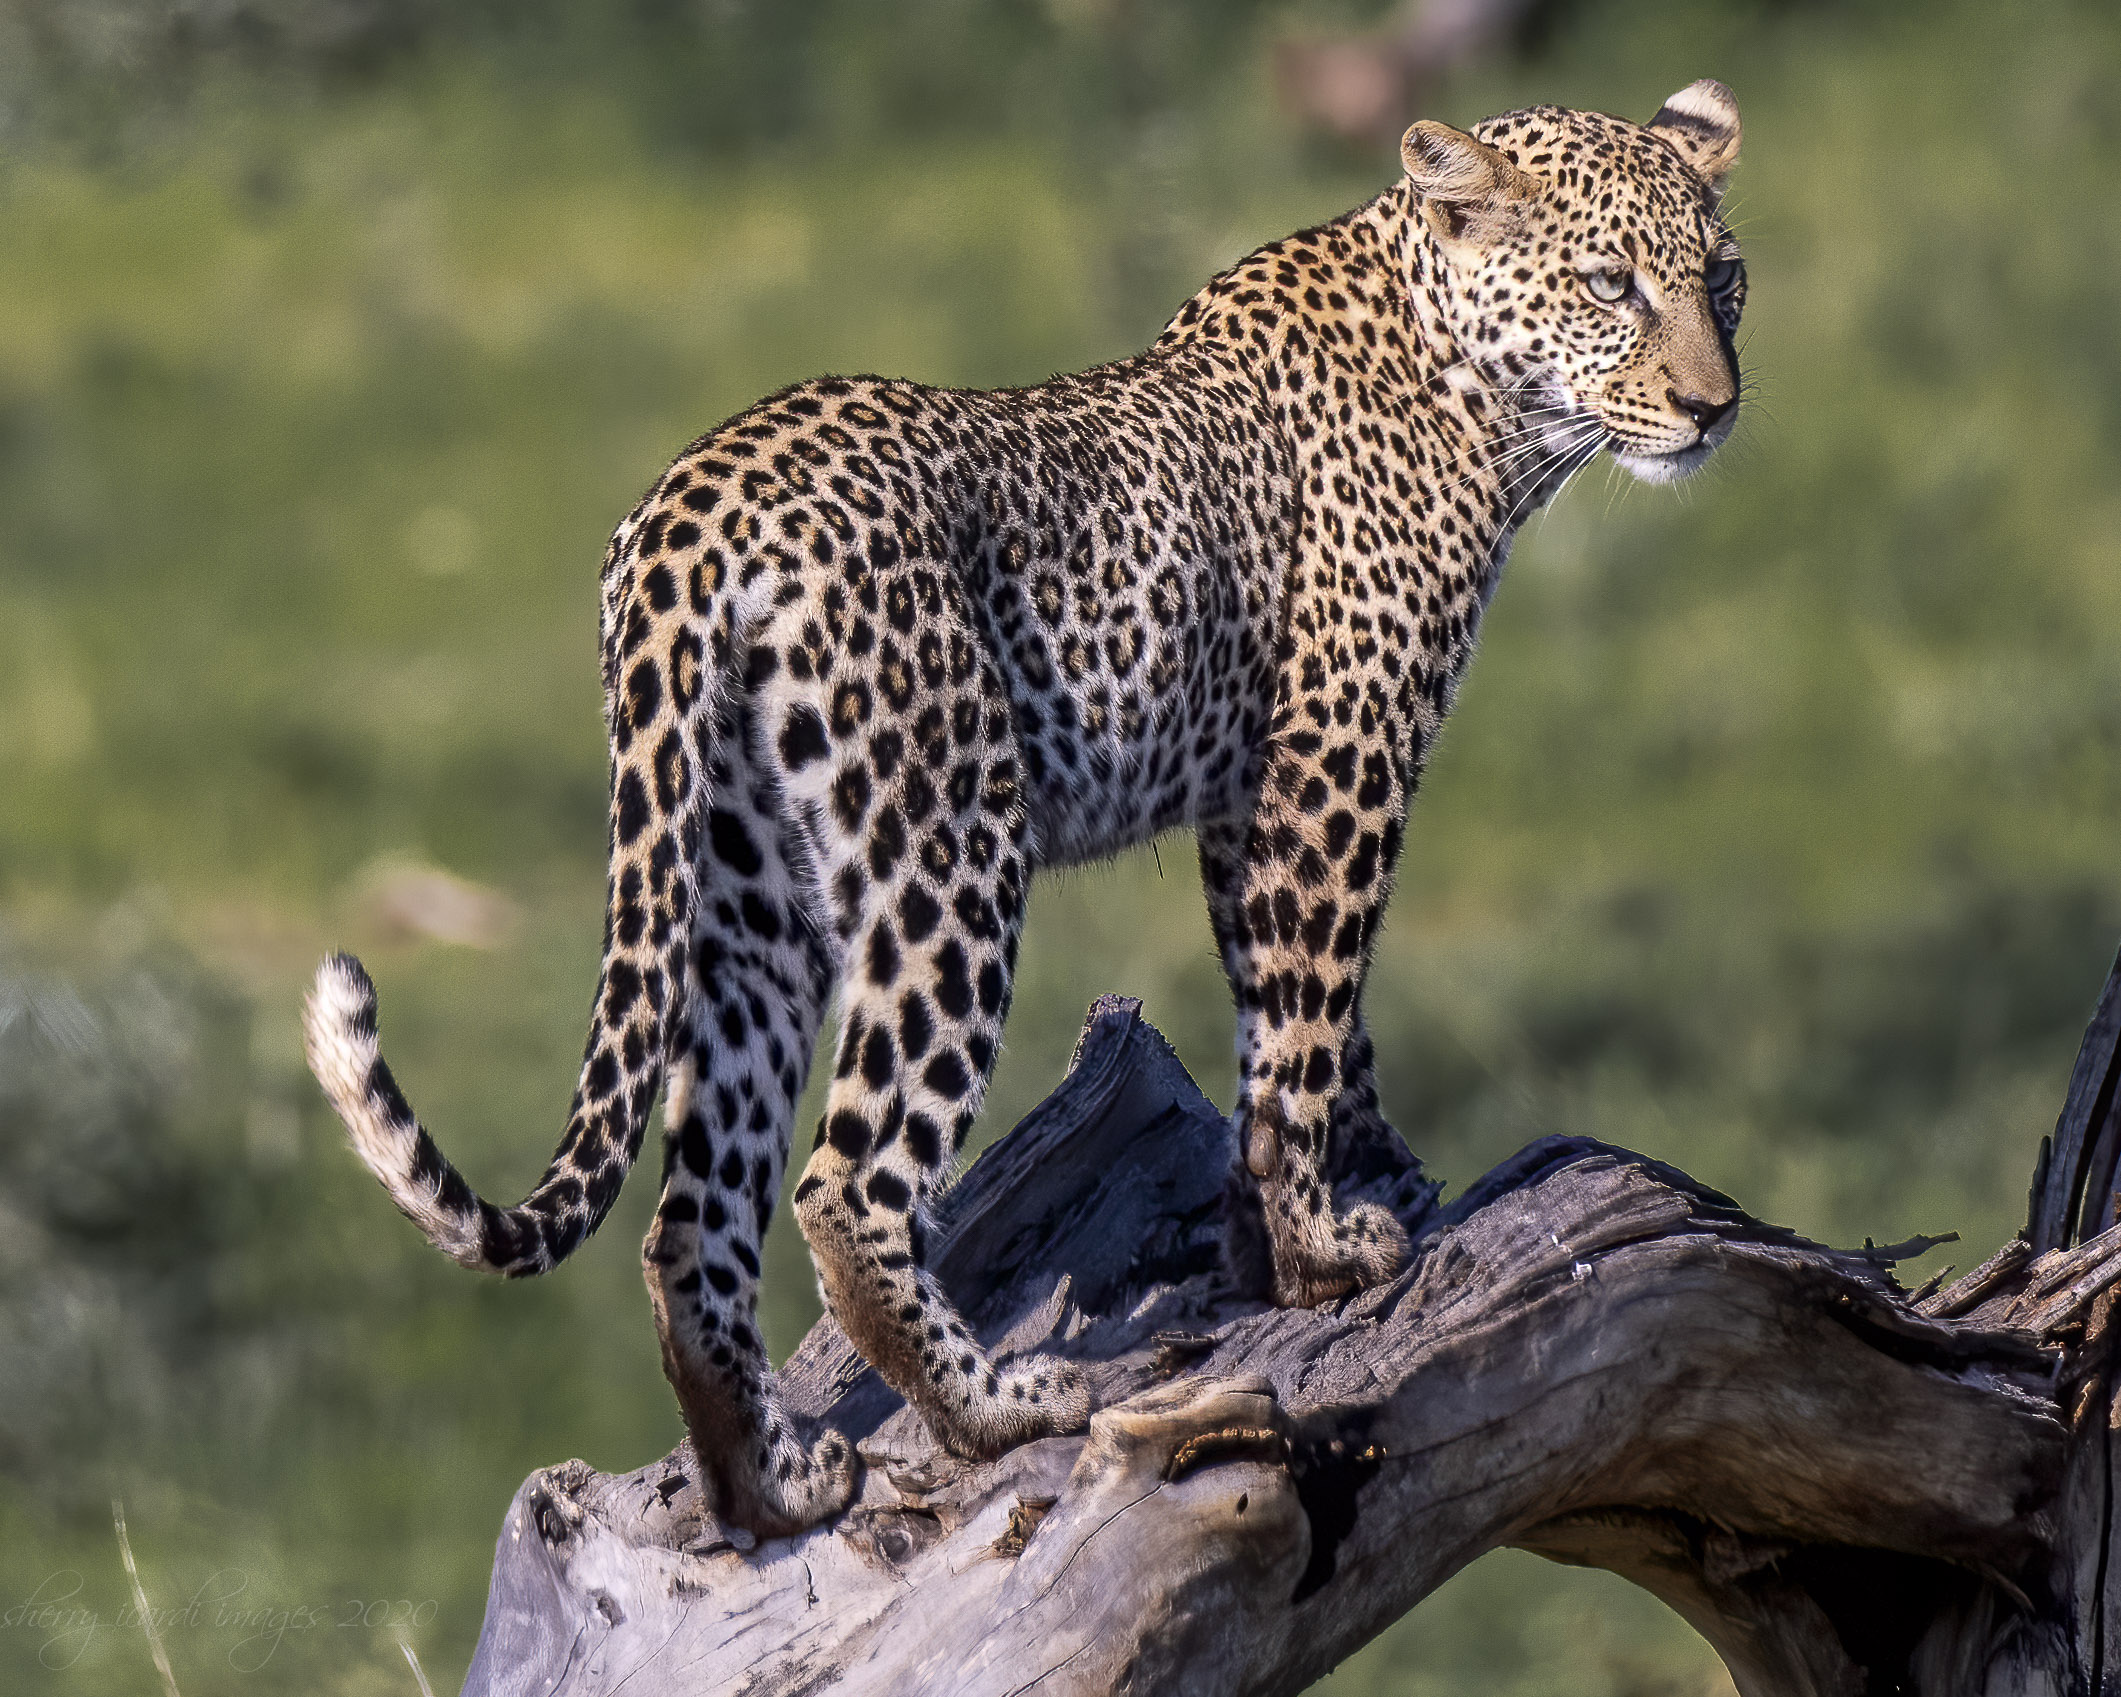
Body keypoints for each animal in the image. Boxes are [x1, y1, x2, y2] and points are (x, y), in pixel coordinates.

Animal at [307, 76, 1747, 1535]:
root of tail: (691, 510)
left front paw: (1321, 1198)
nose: (1713, 409)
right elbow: (1308, 1013)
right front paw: (1323, 1248)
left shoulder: (1244, 796)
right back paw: (995, 1408)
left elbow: (1288, 1015)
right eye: (1611, 284)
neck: (1476, 395)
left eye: (1723, 281)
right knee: (844, 1184)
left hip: (744, 891)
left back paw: (771, 1486)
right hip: (947, 855)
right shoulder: (1337, 755)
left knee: (692, 1214)